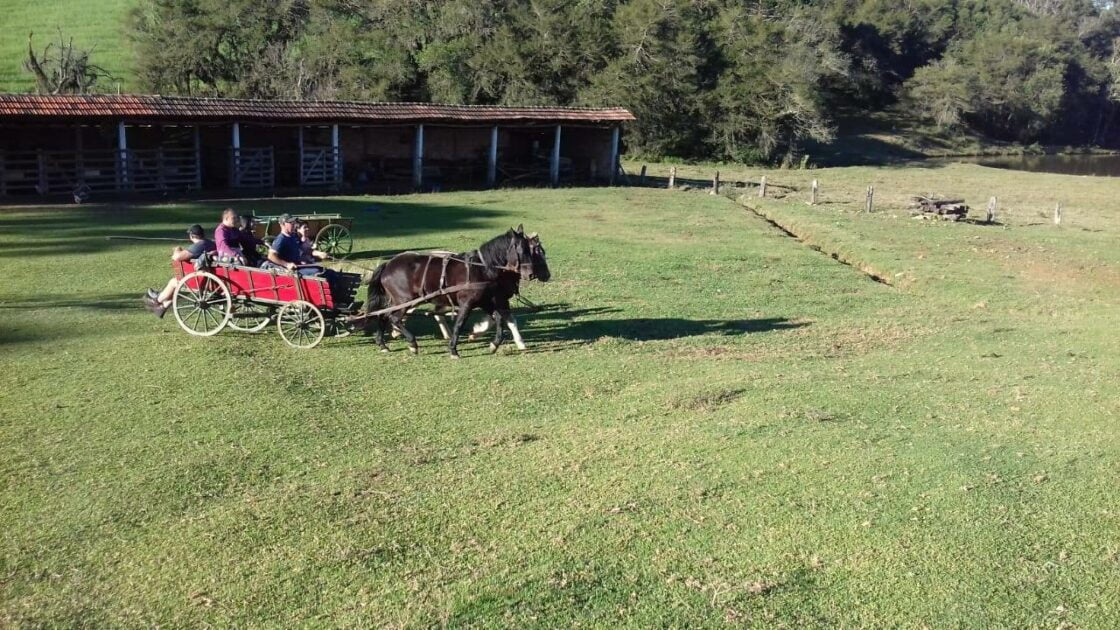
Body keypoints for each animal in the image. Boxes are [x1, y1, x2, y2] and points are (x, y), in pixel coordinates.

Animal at [365, 223, 548, 356]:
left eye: (530, 250)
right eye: (521, 250)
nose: (531, 274)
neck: (481, 268)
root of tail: (388, 264)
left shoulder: (486, 301)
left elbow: (499, 320)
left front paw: (493, 344)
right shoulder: (468, 303)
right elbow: (460, 324)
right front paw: (453, 349)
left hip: (397, 300)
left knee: (383, 315)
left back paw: (383, 344)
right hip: (405, 300)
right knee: (394, 318)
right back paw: (412, 343)